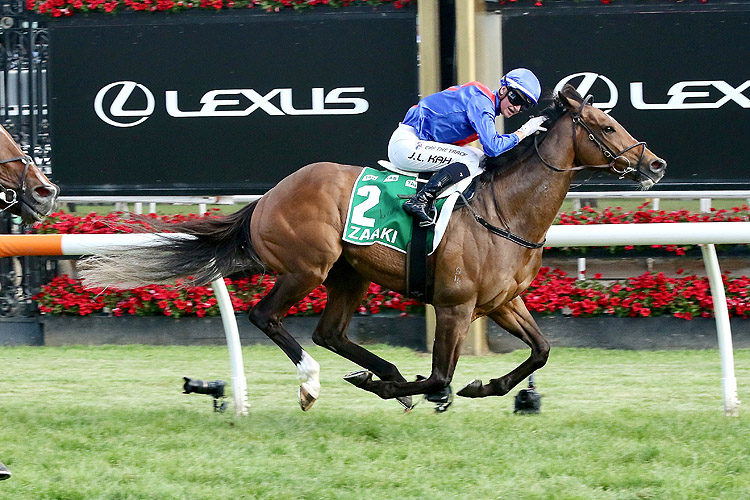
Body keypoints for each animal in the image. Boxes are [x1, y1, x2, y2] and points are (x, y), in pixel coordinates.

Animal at [79, 86, 668, 412]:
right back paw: (316, 383)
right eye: (607, 124)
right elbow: (439, 375)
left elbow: (540, 351)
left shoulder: (502, 302)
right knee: (266, 316)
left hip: (350, 273)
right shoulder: (454, 305)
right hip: (307, 268)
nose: (655, 163)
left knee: (330, 332)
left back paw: (379, 373)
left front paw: (484, 386)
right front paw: (422, 390)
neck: (505, 211)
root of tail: (268, 197)